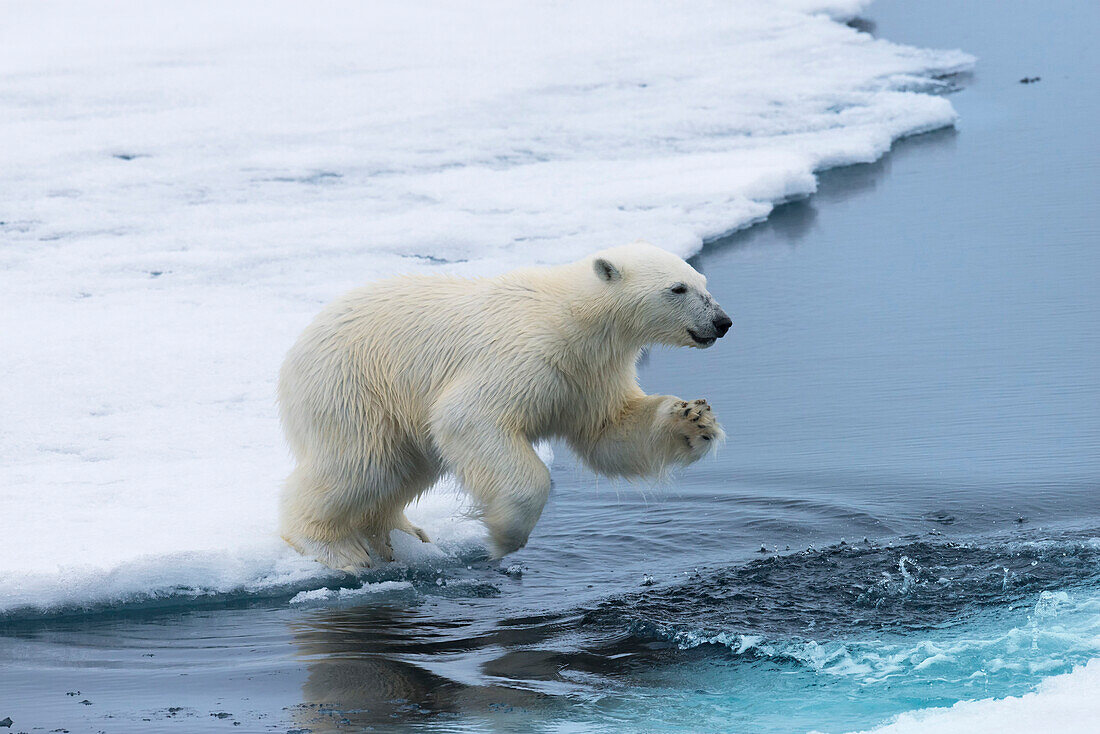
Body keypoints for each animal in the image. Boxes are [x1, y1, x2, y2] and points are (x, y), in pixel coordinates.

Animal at [279, 240, 734, 567]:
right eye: (677, 288)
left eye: (703, 281)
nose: (723, 322)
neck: (573, 317)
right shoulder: (524, 354)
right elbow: (468, 417)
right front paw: (503, 536)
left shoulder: (591, 374)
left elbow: (610, 433)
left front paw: (694, 419)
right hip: (353, 387)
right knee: (359, 464)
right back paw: (335, 548)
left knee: (403, 470)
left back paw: (403, 537)